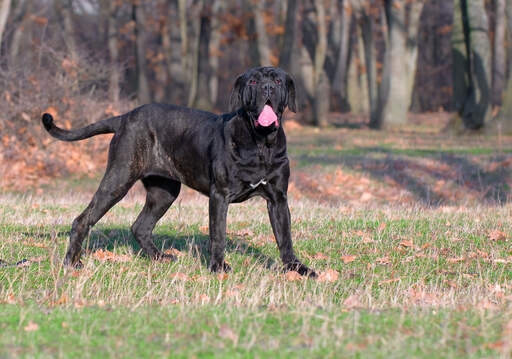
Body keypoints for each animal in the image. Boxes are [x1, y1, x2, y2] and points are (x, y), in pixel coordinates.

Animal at [43, 66, 316, 278]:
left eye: (278, 81)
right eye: (254, 81)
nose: (267, 89)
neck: (261, 143)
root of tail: (125, 117)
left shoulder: (278, 198)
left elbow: (285, 237)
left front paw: (296, 268)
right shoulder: (220, 195)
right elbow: (218, 233)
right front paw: (218, 267)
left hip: (164, 192)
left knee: (140, 226)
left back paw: (159, 257)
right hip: (118, 179)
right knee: (83, 220)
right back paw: (73, 262)